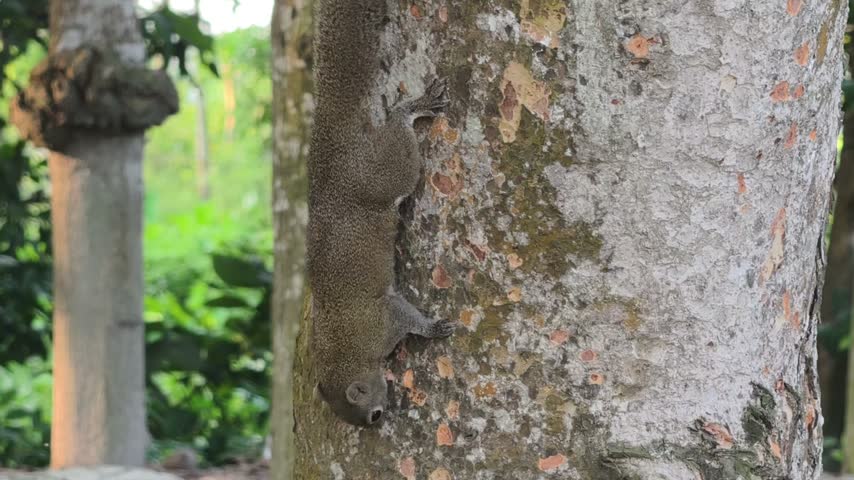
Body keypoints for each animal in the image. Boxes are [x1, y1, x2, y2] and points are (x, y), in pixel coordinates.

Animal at [306, 0, 455, 427]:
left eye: (370, 415)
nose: (380, 421)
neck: (341, 355)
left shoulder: (384, 321)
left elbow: (407, 317)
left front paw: (433, 327)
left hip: (382, 172)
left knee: (399, 138)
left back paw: (413, 107)